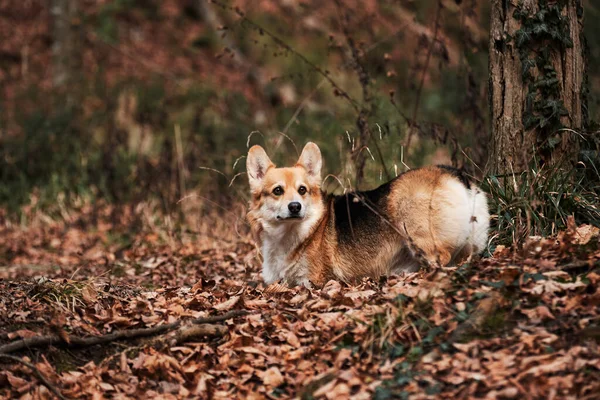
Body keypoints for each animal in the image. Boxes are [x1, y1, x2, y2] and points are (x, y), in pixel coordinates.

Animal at [246, 142, 490, 286]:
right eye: (278, 191)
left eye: (302, 190)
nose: (295, 207)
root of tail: (455, 175)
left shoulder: (311, 281)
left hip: (410, 221)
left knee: (443, 260)